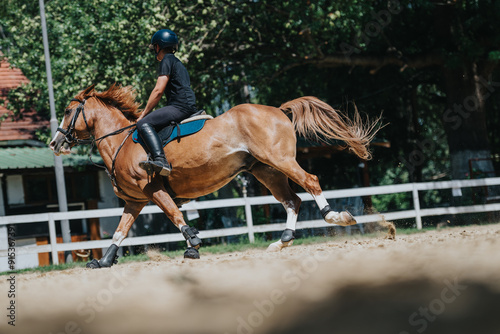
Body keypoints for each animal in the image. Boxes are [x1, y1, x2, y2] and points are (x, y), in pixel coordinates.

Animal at [49, 84, 378, 268]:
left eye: (66, 110)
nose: (54, 143)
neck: (122, 142)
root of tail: (278, 110)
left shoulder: (153, 190)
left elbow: (174, 215)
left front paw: (193, 244)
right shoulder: (135, 201)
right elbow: (120, 231)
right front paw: (104, 261)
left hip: (280, 160)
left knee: (310, 182)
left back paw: (336, 216)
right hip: (266, 170)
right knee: (291, 201)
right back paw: (282, 241)